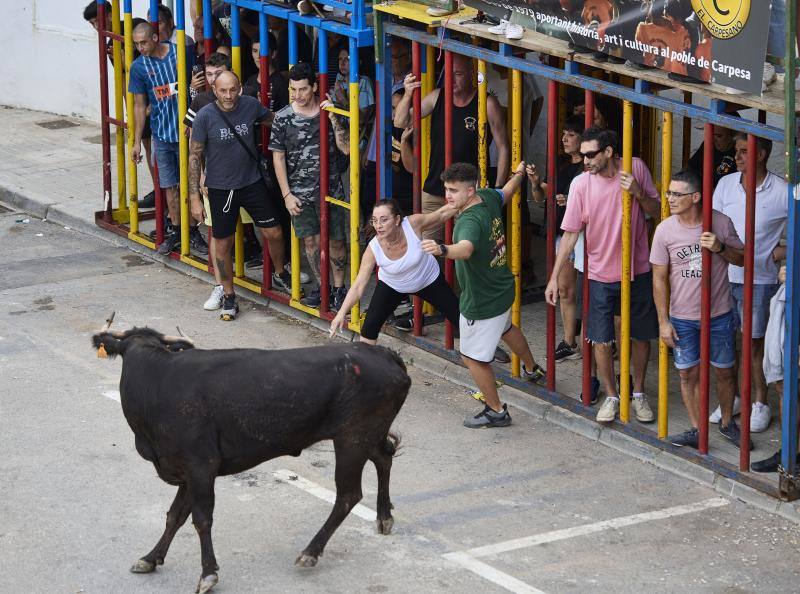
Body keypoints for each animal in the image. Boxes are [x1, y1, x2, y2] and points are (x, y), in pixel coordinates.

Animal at [90, 326, 410, 588]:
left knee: (348, 495)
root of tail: (384, 353)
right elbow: (174, 516)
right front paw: (150, 558)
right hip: (368, 436)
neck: (157, 382)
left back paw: (310, 552)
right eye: (127, 350)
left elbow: (201, 518)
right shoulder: (186, 470)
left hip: (352, 441)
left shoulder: (200, 466)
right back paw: (384, 518)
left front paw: (208, 574)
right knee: (384, 457)